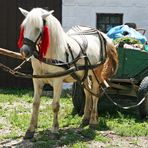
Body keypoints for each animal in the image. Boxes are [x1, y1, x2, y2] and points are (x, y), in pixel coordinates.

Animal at [18, 7, 118, 139]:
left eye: (38, 28)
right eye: (24, 27)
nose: (24, 51)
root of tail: (101, 34)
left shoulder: (58, 81)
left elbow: (55, 105)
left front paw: (55, 130)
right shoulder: (37, 80)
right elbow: (35, 103)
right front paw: (30, 130)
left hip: (96, 72)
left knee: (95, 94)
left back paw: (93, 121)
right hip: (84, 74)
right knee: (88, 92)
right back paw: (85, 119)